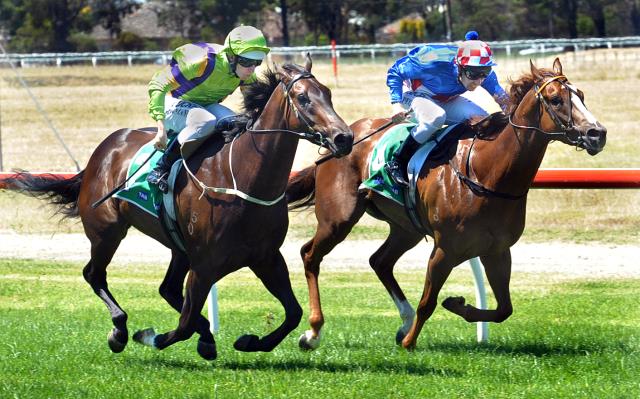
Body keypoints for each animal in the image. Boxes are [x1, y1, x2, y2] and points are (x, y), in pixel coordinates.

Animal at [6, 57, 356, 360]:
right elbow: (184, 324)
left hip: (177, 247)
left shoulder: (265, 257)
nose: (344, 137)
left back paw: (202, 336)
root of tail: (103, 150)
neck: (244, 179)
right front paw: (151, 336)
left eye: (328, 93)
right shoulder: (204, 264)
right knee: (94, 274)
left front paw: (249, 341)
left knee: (167, 289)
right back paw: (120, 330)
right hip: (106, 231)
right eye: (303, 98)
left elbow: (293, 312)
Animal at [284, 57, 604, 352]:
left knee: (380, 261)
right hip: (339, 218)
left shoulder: (497, 250)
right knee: (310, 254)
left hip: (406, 228)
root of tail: (341, 137)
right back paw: (312, 333)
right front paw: (410, 342)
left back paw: (403, 322)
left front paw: (456, 305)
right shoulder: (445, 249)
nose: (597, 133)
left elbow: (504, 309)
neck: (488, 173)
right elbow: (428, 301)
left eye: (582, 94)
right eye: (556, 99)